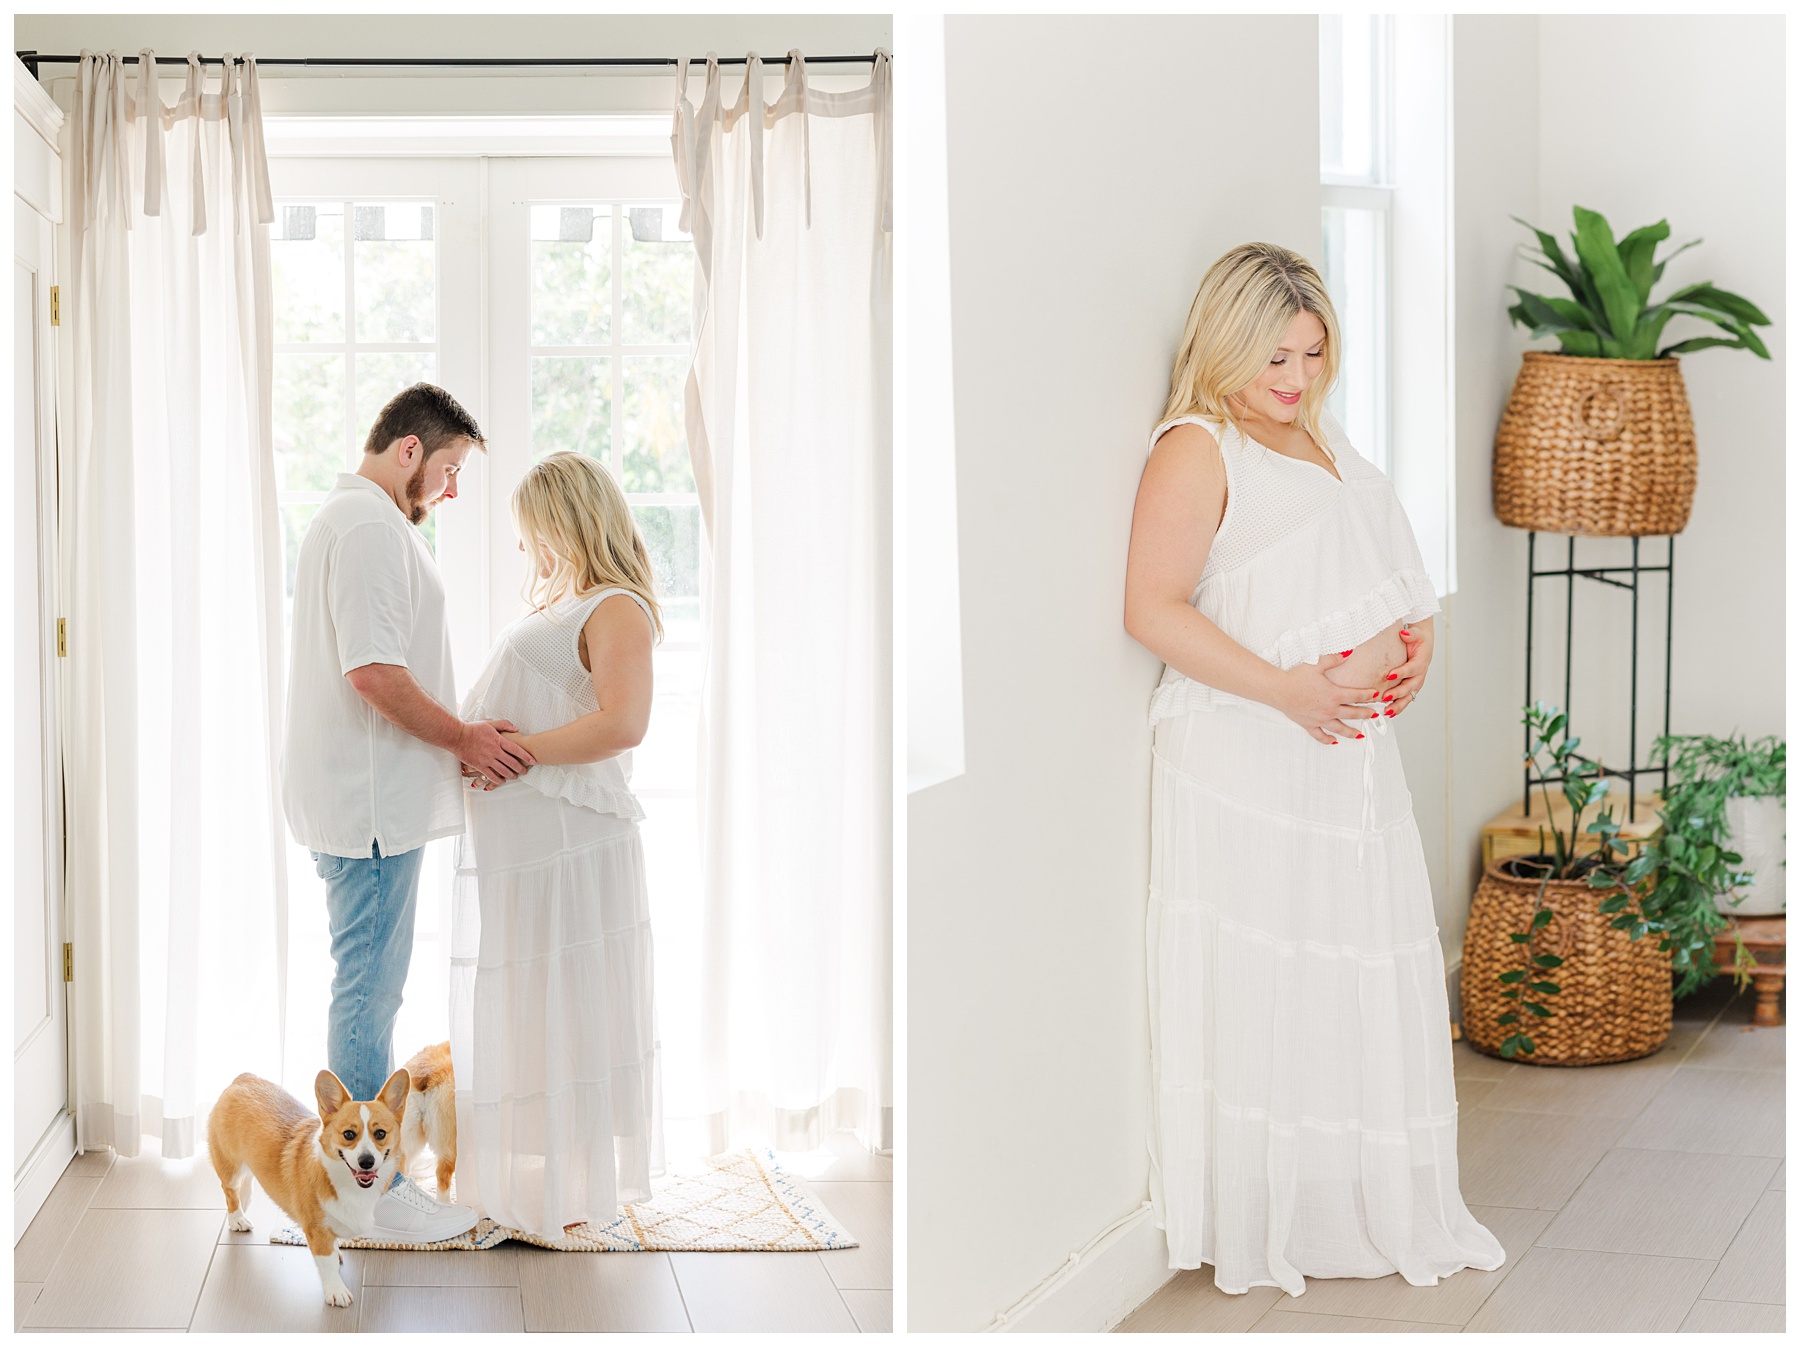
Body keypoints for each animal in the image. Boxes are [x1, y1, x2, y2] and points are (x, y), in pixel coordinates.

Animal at [207, 1066, 408, 1303]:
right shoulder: (315, 1228)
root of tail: (244, 1078)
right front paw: (336, 1292)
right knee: (230, 1191)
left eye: (380, 1134)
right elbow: (327, 1262)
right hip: (230, 1167)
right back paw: (237, 1219)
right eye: (349, 1134)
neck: (346, 1184)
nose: (366, 1161)